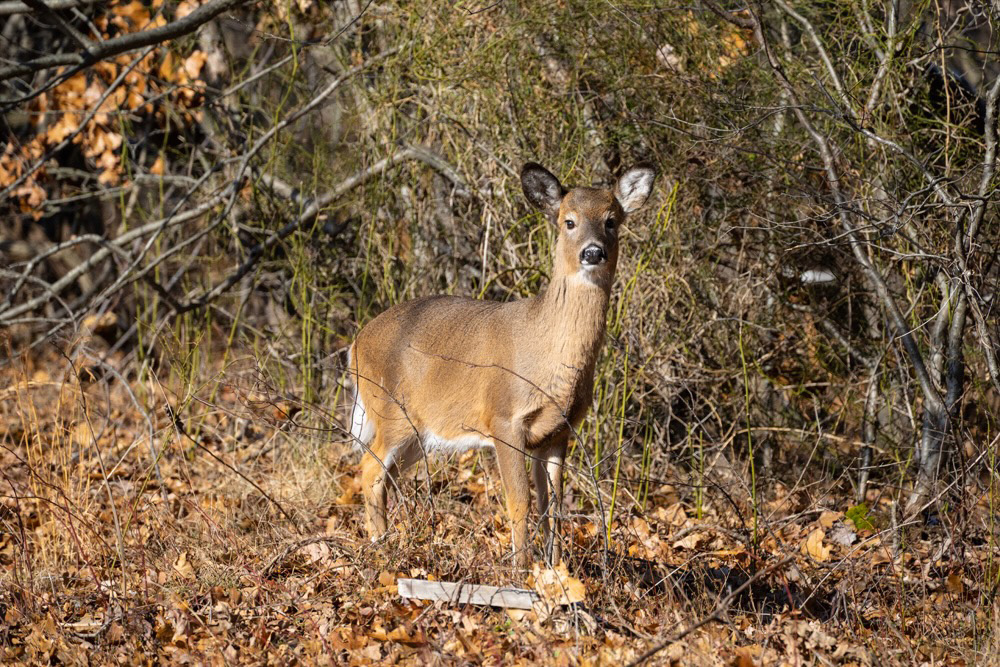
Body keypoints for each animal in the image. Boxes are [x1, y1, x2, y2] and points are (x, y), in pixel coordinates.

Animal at [346, 161, 656, 569]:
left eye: (612, 220)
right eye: (568, 221)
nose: (593, 252)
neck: (547, 353)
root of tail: (356, 342)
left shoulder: (558, 431)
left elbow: (552, 504)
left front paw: (557, 569)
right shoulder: (503, 418)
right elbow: (520, 501)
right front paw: (521, 570)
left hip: (419, 433)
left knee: (386, 474)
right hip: (391, 412)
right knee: (368, 469)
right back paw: (381, 547)